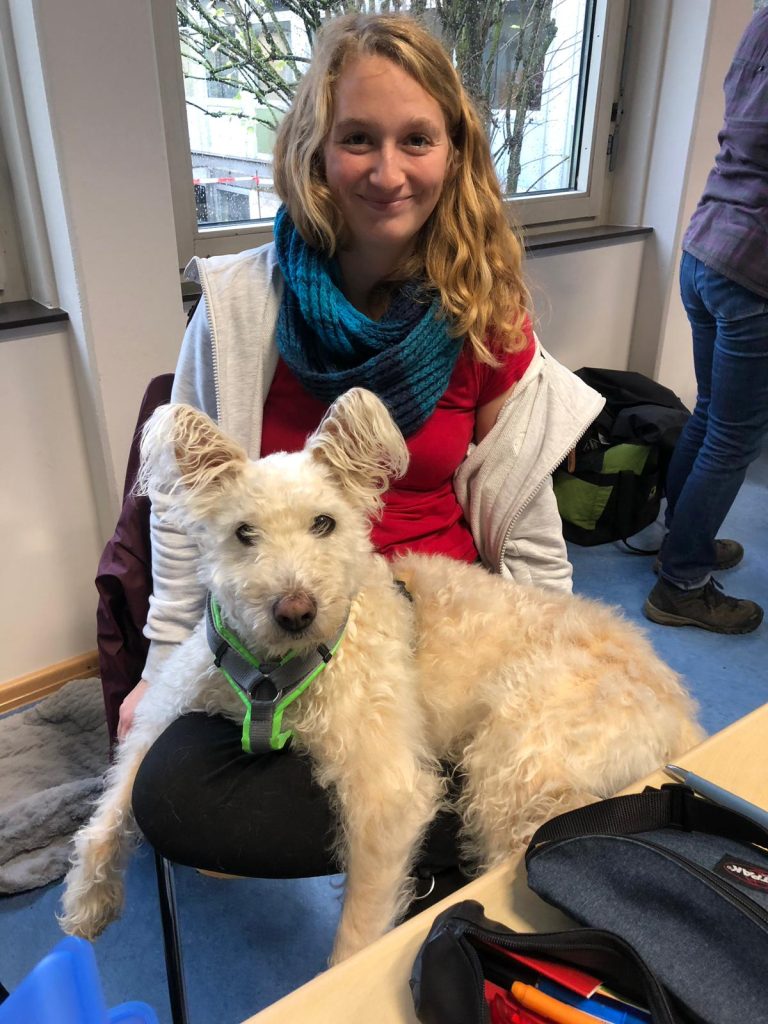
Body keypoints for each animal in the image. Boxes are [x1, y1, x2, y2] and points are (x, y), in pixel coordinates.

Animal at [60, 387, 702, 963]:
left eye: (324, 524)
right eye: (243, 532)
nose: (295, 611)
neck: (275, 673)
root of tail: (684, 715)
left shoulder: (387, 792)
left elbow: (360, 933)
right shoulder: (162, 713)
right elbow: (114, 803)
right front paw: (88, 901)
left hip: (517, 762)